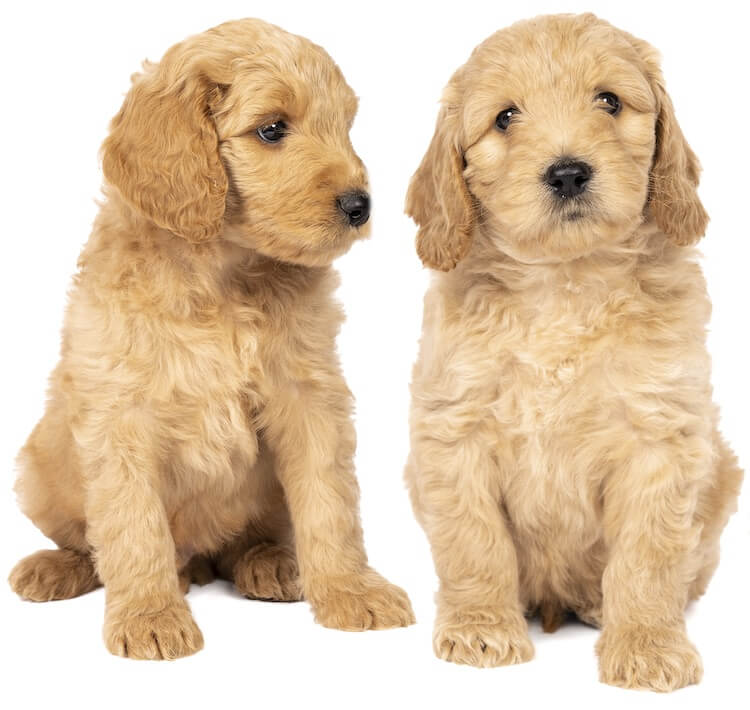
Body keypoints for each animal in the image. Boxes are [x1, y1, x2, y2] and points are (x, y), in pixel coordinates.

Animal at [8, 16, 414, 660]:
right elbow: (132, 522)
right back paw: (60, 567)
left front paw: (351, 590)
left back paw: (272, 563)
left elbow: (330, 504)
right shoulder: (119, 415)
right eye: (272, 129)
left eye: (344, 125)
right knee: (88, 539)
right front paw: (149, 615)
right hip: (39, 467)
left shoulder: (310, 399)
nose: (361, 205)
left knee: (245, 542)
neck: (222, 274)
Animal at [406, 13, 748, 692]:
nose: (567, 173)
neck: (564, 283)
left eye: (610, 101)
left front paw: (647, 645)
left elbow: (648, 555)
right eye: (505, 117)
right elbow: (474, 541)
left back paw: (597, 604)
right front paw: (481, 627)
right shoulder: (455, 430)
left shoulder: (659, 437)